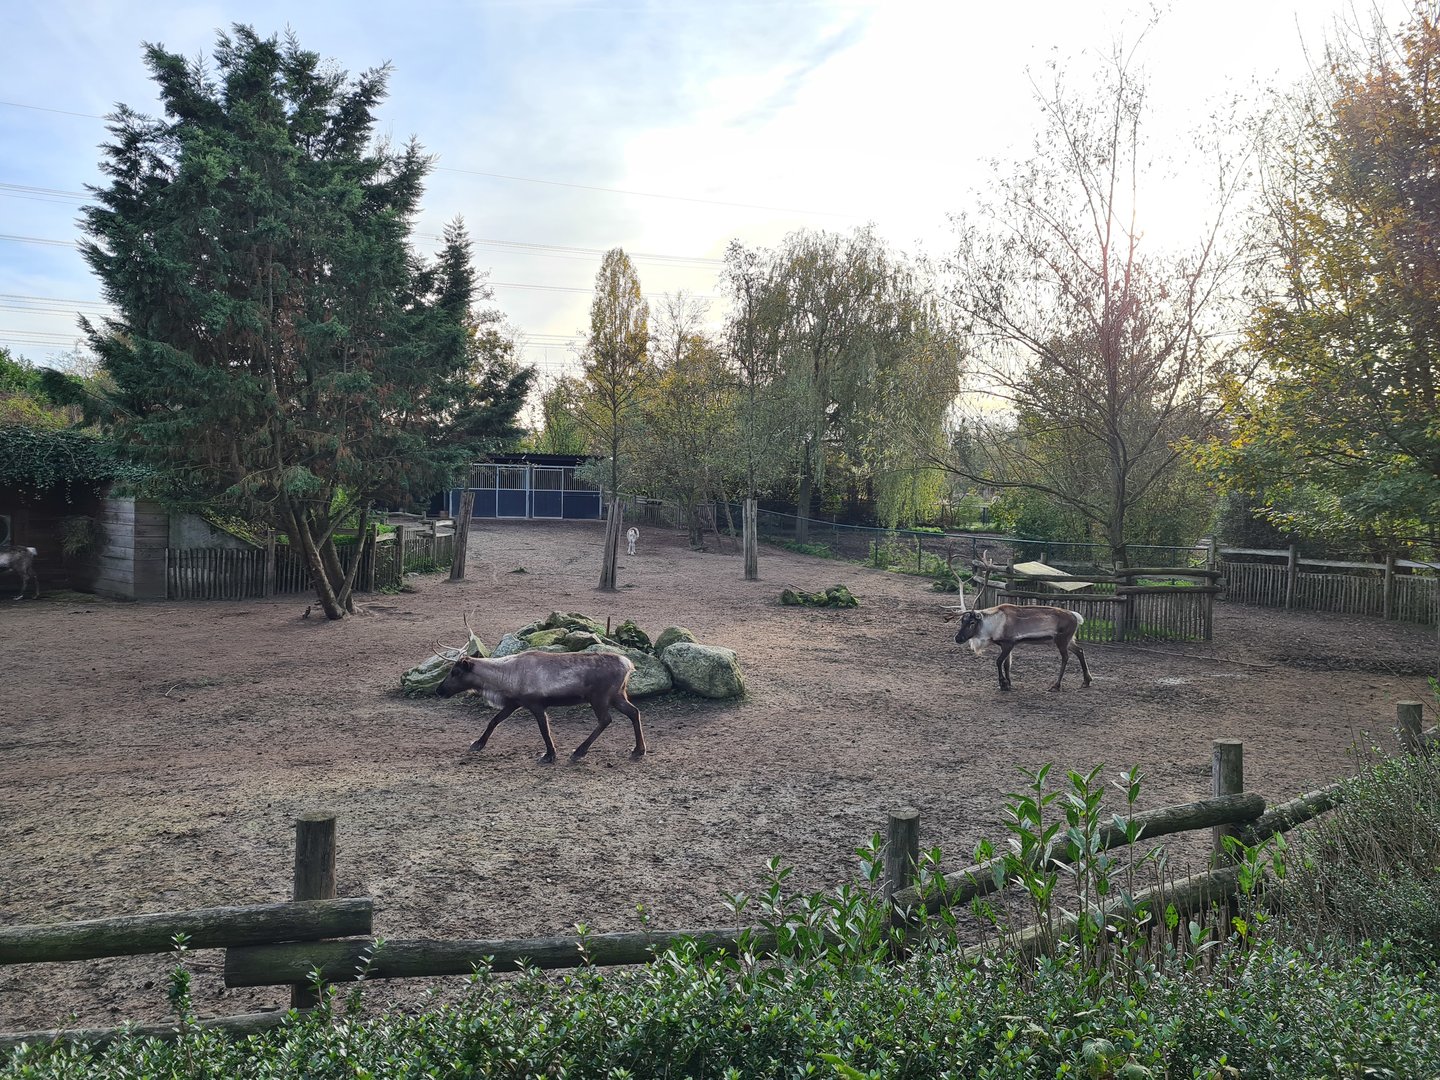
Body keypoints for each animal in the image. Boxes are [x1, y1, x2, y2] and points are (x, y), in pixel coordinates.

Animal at [433, 613, 645, 762]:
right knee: (634, 712)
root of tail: (628, 664)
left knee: (606, 719)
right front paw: (477, 743)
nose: (439, 690)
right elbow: (494, 721)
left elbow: (544, 729)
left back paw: (579, 752)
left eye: (456, 672)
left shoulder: (536, 703)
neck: (505, 677)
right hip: (617, 695)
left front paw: (549, 755)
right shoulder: (514, 702)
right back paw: (638, 750)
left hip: (599, 697)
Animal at [944, 554, 1092, 692]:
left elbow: (999, 662)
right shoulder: (1006, 645)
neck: (992, 627)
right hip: (1068, 639)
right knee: (1080, 651)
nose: (958, 638)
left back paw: (1056, 685)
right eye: (962, 621)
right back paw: (1086, 681)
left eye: (972, 622)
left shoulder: (1008, 642)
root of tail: (1075, 616)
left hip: (1062, 639)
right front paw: (1008, 683)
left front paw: (1003, 683)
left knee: (1065, 657)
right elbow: (1006, 664)